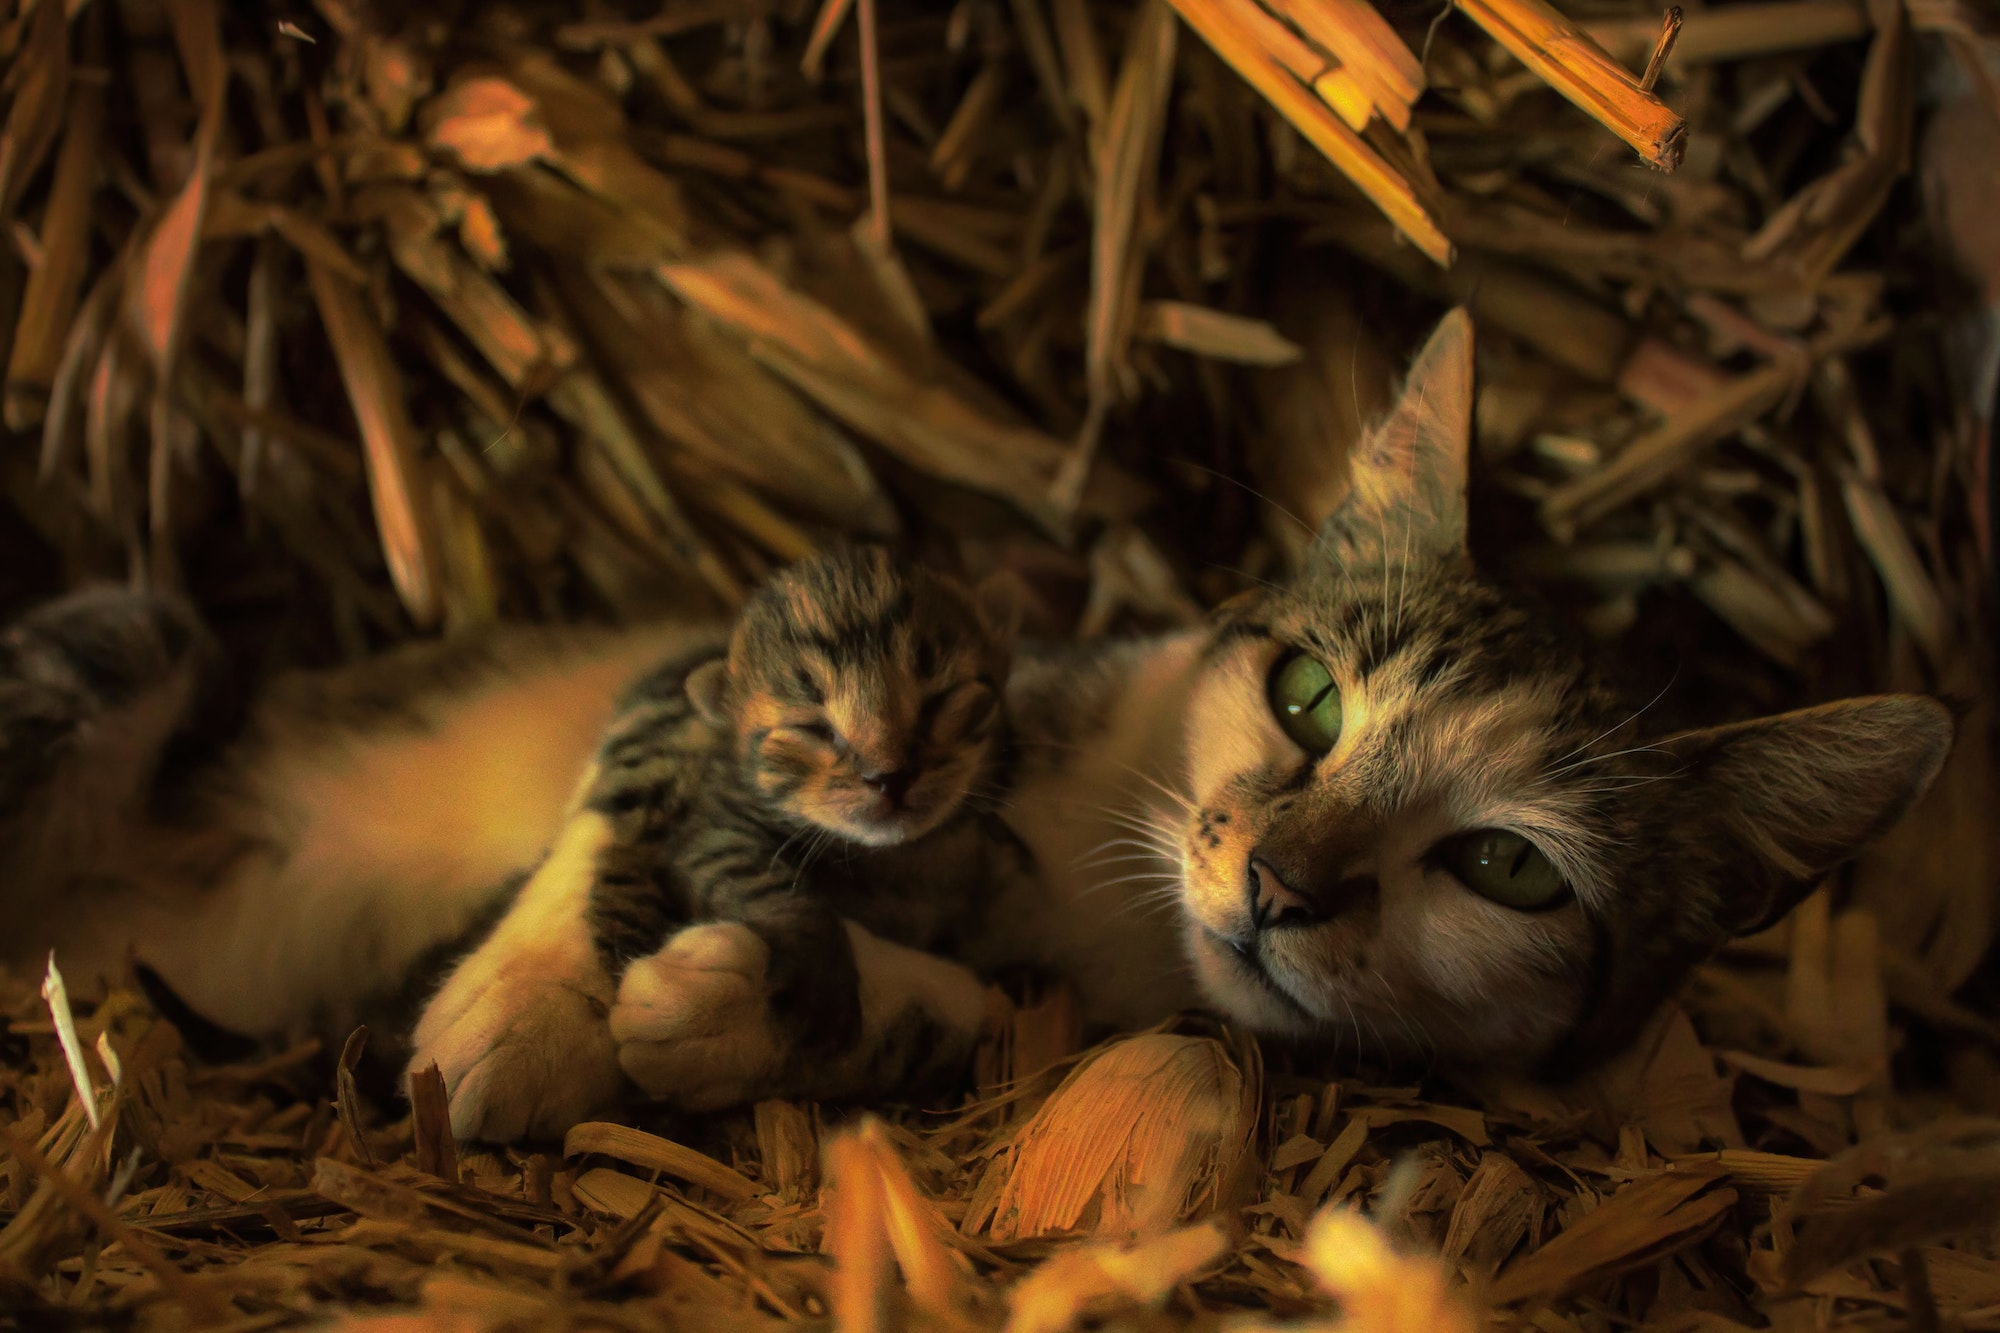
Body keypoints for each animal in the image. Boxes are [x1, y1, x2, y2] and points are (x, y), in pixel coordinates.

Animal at [0, 308, 1944, 1128]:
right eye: (1309, 697)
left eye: (1512, 873)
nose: (1280, 883)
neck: (1103, 886)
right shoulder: (702, 679)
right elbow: (622, 801)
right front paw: (526, 1020)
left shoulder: (1074, 997)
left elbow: (979, 1020)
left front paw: (746, 1006)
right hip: (131, 638)